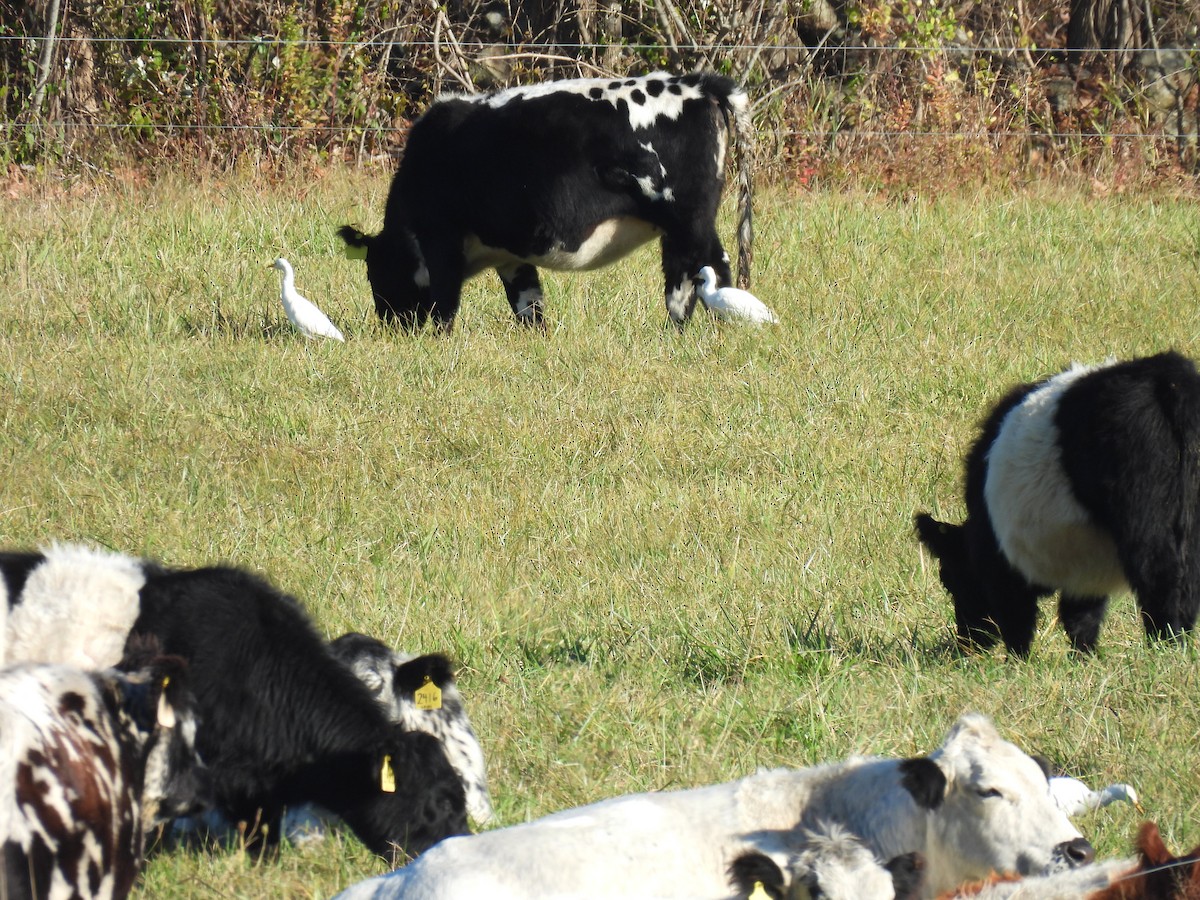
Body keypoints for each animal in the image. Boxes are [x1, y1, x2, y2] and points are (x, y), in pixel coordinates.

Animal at [338, 70, 753, 331]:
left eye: (375, 271)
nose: (392, 326)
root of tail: (694, 83)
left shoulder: (441, 239)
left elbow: (445, 303)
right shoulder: (510, 255)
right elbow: (529, 305)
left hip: (684, 220)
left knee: (687, 278)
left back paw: (678, 332)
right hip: (695, 223)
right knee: (714, 269)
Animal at [915, 352, 1200, 657]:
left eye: (950, 580)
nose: (967, 643)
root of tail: (1167, 374)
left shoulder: (1001, 562)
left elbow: (1019, 616)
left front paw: (1019, 660)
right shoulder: (1086, 564)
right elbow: (1081, 616)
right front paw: (1084, 657)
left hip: (1144, 518)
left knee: (1161, 579)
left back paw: (1165, 645)